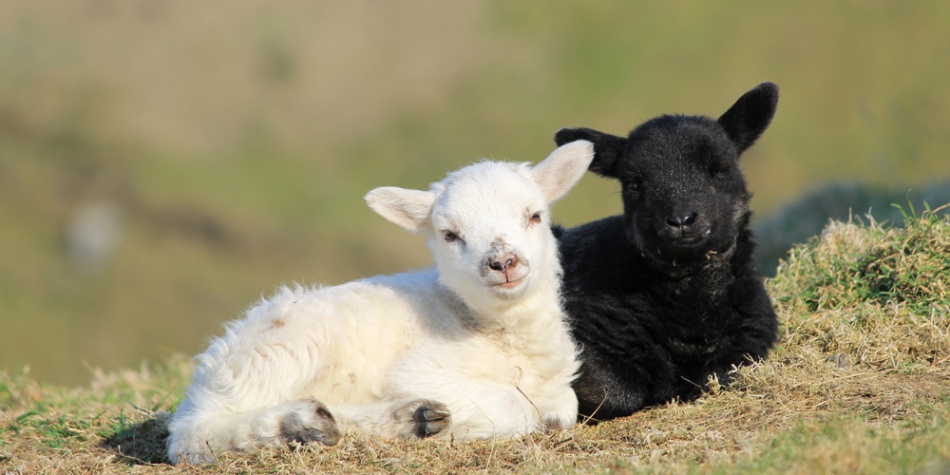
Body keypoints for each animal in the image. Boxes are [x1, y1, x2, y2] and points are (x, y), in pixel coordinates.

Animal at [166, 140, 594, 464]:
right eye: (449, 235)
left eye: (535, 216)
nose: (503, 263)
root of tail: (214, 366)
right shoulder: (420, 369)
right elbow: (516, 406)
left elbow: (566, 405)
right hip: (282, 348)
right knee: (195, 433)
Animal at [552, 83, 781, 421]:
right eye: (633, 184)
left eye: (719, 169)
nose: (681, 221)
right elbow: (614, 391)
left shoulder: (748, 342)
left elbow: (719, 375)